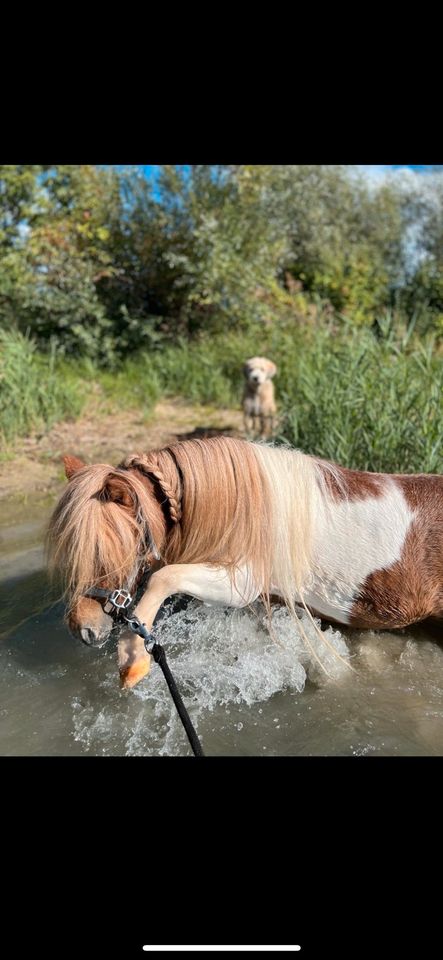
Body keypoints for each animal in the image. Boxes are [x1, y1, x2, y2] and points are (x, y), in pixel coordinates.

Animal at [47, 438, 443, 688]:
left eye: (105, 551)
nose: (82, 629)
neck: (237, 506)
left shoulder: (243, 581)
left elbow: (164, 578)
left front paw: (132, 660)